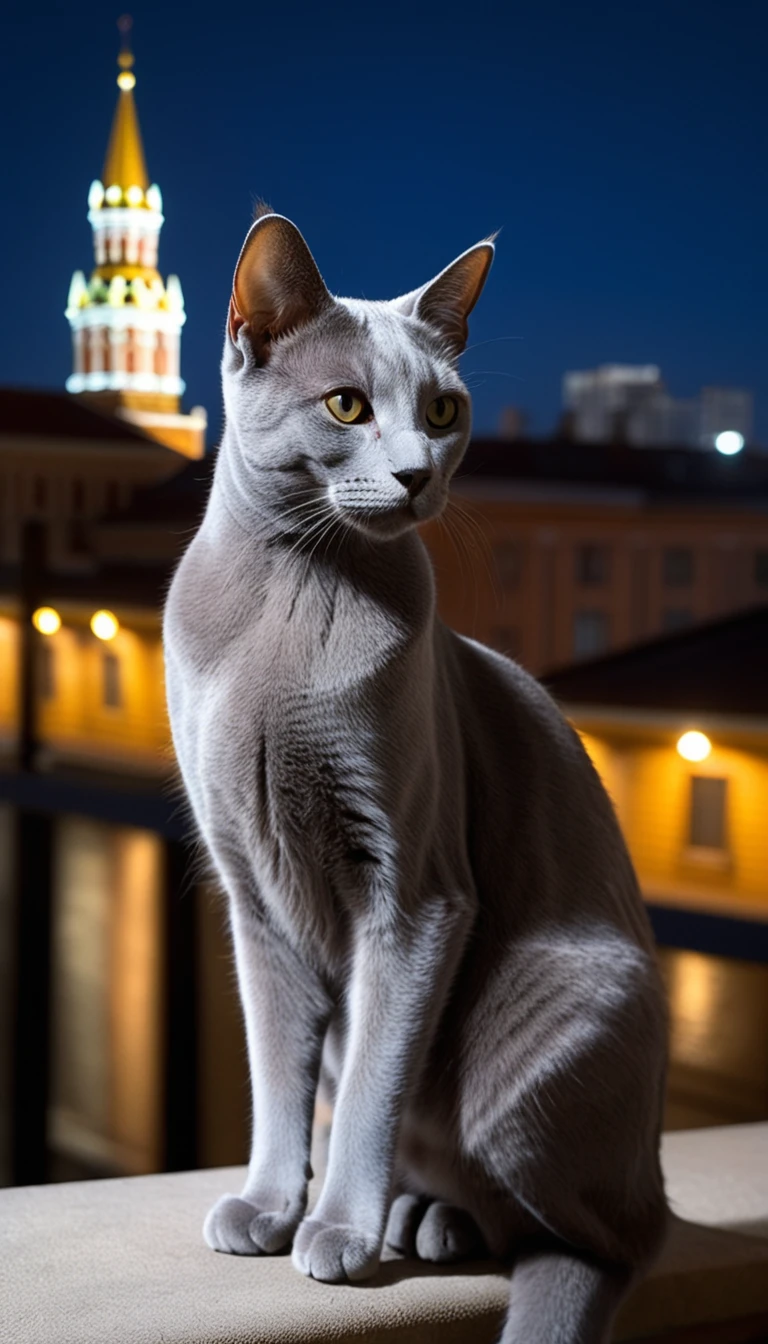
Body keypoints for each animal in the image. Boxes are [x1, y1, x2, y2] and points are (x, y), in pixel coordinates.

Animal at [162, 215, 667, 1338]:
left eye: (442, 411)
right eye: (347, 404)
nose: (414, 475)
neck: (291, 595)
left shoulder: (416, 893)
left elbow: (369, 1092)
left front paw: (336, 1231)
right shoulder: (253, 895)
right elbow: (277, 1073)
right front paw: (268, 1205)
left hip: (547, 1028)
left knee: (599, 1240)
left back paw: (427, 1222)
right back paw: (421, 1212)